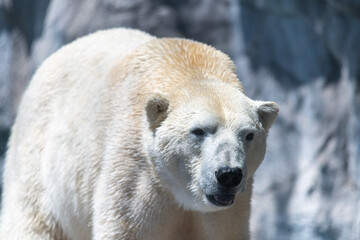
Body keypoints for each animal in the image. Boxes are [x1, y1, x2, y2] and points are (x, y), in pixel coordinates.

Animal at [0, 28, 278, 240]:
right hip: (37, 159)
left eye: (248, 135)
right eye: (198, 131)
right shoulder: (137, 177)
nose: (228, 174)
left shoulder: (230, 209)